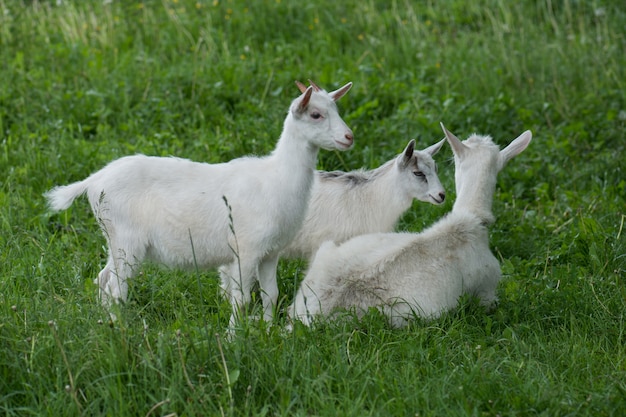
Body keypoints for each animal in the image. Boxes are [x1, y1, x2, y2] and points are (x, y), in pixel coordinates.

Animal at [45, 79, 354, 324]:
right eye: (315, 114)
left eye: (336, 110)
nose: (349, 137)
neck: (276, 178)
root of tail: (94, 180)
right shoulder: (245, 249)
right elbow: (241, 298)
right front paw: (234, 337)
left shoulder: (270, 251)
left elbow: (271, 295)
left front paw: (268, 332)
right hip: (126, 241)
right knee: (115, 289)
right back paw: (120, 328)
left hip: (114, 240)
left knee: (102, 278)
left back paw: (104, 322)